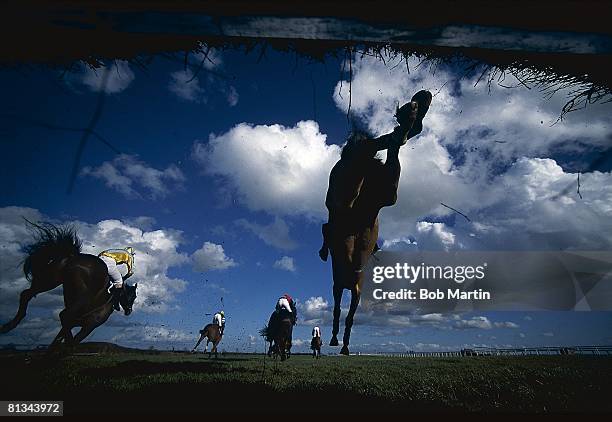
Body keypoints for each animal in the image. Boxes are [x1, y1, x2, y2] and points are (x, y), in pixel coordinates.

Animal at [0, 219, 136, 348]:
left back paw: (8, 326)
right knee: (63, 315)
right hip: (82, 296)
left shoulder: (74, 323)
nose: (129, 311)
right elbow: (71, 339)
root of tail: (72, 257)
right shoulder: (90, 324)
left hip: (50, 280)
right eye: (133, 297)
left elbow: (58, 338)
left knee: (26, 294)